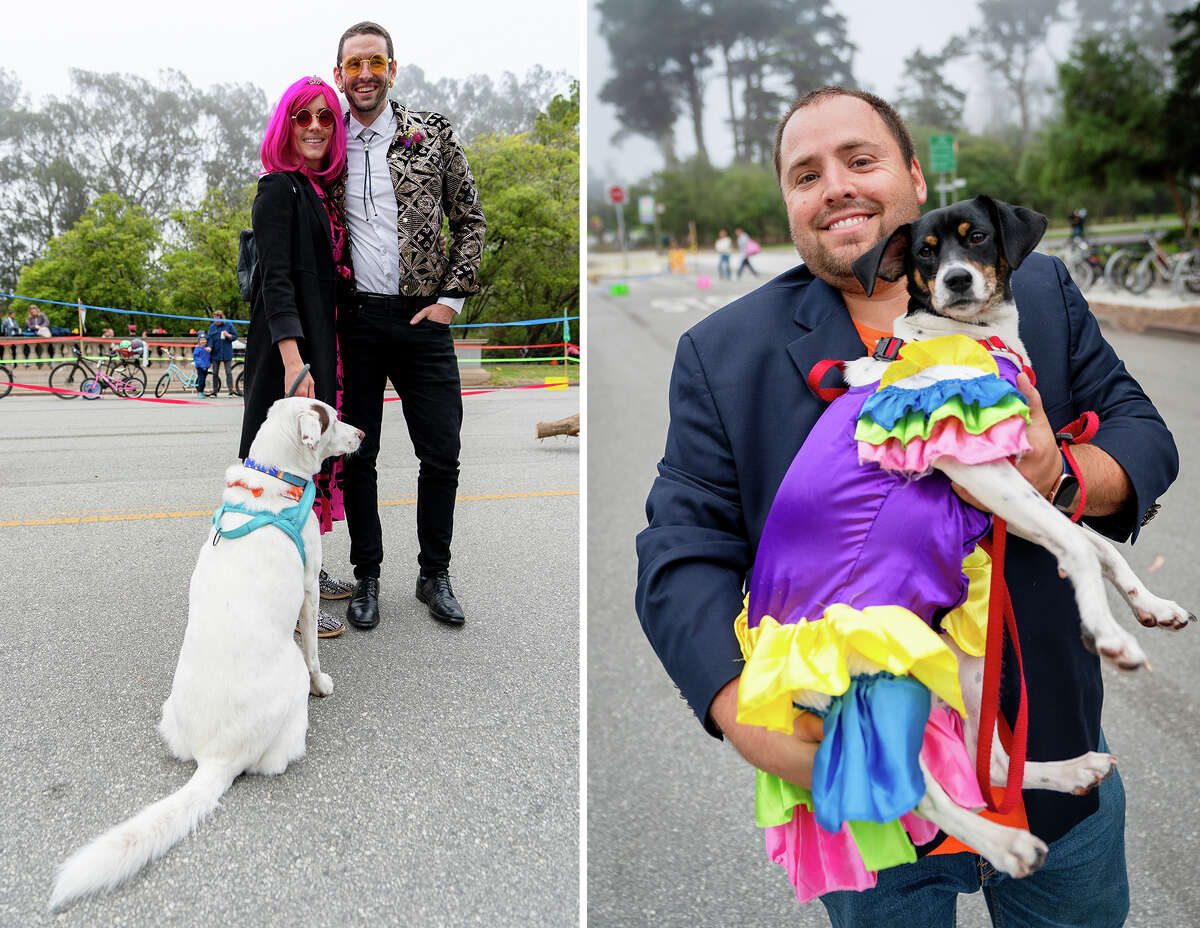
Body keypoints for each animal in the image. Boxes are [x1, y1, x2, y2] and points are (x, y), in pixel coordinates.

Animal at [52, 393, 360, 907]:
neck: (275, 478)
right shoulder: (308, 588)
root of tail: (217, 757)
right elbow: (315, 649)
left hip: (169, 714)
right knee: (279, 751)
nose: (362, 434)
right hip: (289, 690)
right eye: (332, 419)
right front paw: (325, 683)